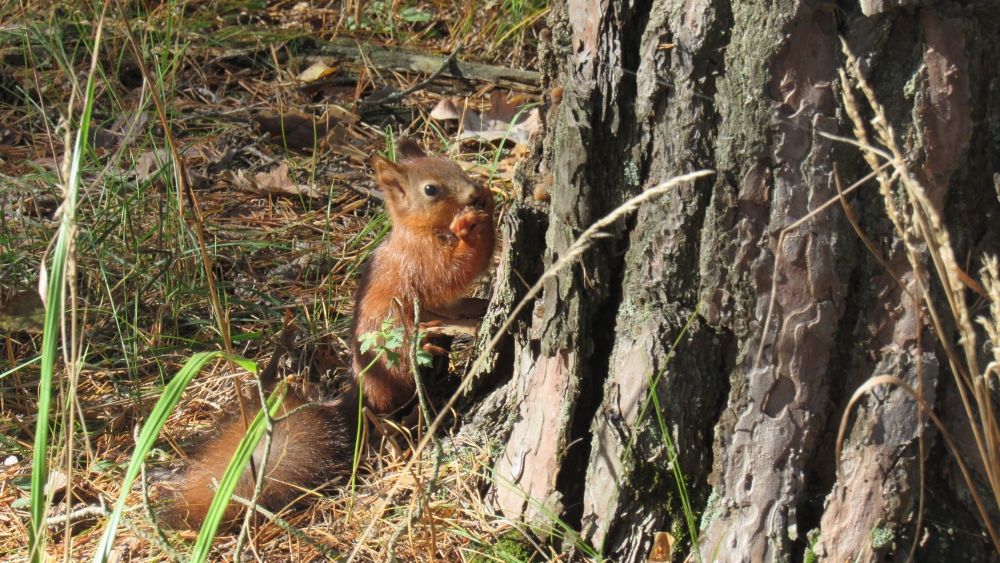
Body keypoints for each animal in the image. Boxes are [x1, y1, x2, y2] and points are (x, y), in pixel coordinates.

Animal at [159, 139, 496, 528]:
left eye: (454, 165)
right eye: (431, 190)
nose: (474, 191)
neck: (415, 231)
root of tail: (362, 393)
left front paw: (488, 199)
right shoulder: (420, 261)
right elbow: (455, 270)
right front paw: (474, 225)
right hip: (390, 337)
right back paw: (424, 349)